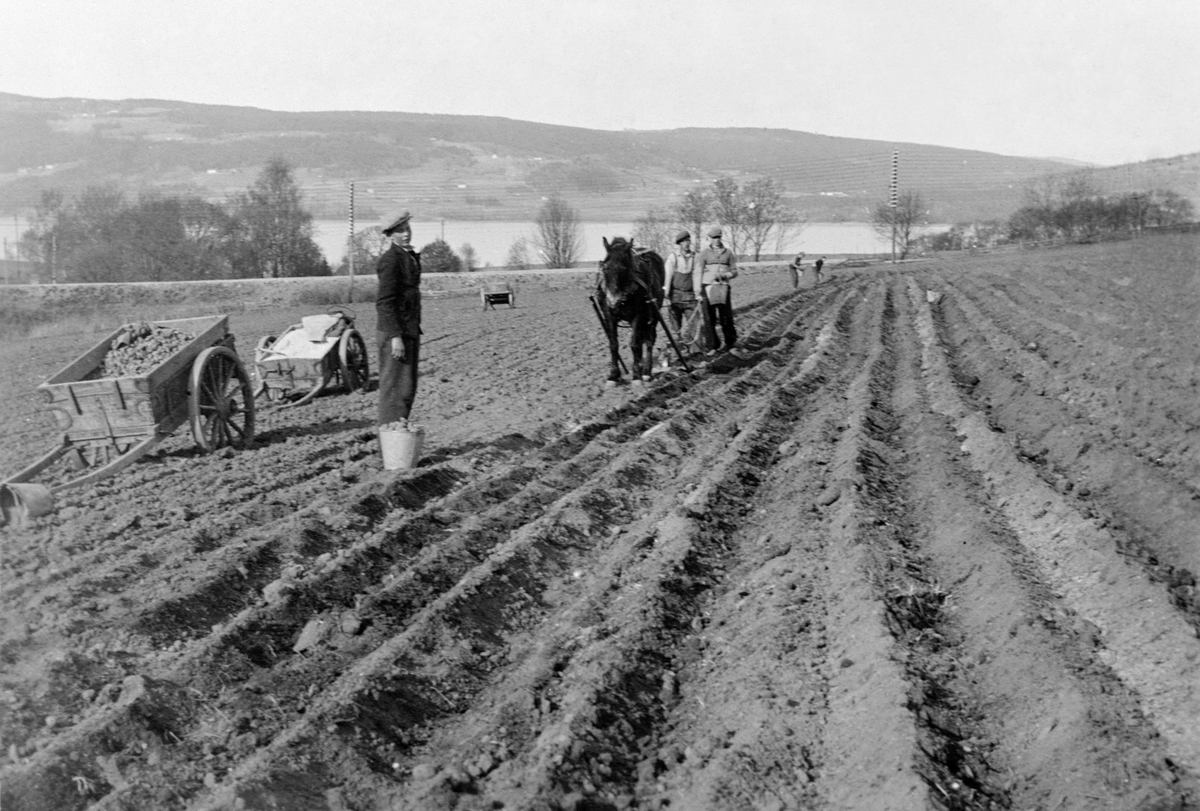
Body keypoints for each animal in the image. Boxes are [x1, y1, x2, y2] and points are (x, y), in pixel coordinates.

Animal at [597, 236, 672, 388]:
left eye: (623, 269)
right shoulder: (609, 315)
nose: (613, 301)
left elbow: (635, 345)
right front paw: (613, 376)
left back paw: (646, 371)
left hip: (653, 315)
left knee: (649, 340)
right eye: (605, 268)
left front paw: (637, 375)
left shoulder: (638, 316)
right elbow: (613, 345)